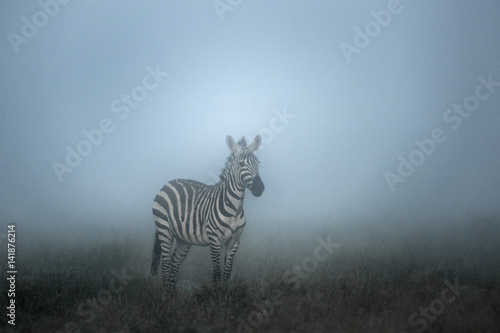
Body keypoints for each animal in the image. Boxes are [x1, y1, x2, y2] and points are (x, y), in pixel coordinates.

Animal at [149, 134, 264, 292]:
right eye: (241, 164)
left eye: (258, 162)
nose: (260, 188)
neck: (234, 209)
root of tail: (168, 183)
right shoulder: (214, 241)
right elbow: (216, 273)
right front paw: (215, 296)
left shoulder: (234, 242)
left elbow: (227, 273)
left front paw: (225, 295)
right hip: (164, 229)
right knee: (166, 265)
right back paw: (166, 296)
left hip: (183, 239)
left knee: (174, 263)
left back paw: (173, 295)